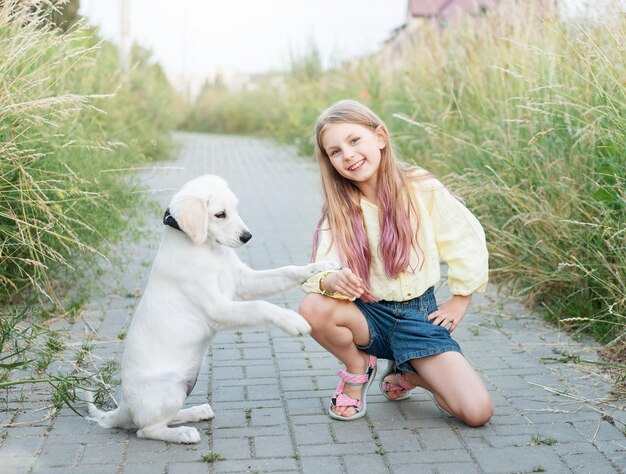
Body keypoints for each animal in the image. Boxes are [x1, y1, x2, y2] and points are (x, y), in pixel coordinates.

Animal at [86, 174, 336, 444]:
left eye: (235, 209)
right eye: (220, 215)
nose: (247, 237)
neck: (208, 250)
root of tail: (125, 407)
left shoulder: (244, 281)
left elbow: (288, 271)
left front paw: (320, 266)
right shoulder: (218, 309)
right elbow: (260, 305)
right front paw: (293, 321)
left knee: (163, 419)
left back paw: (196, 412)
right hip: (170, 388)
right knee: (146, 429)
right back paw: (183, 433)